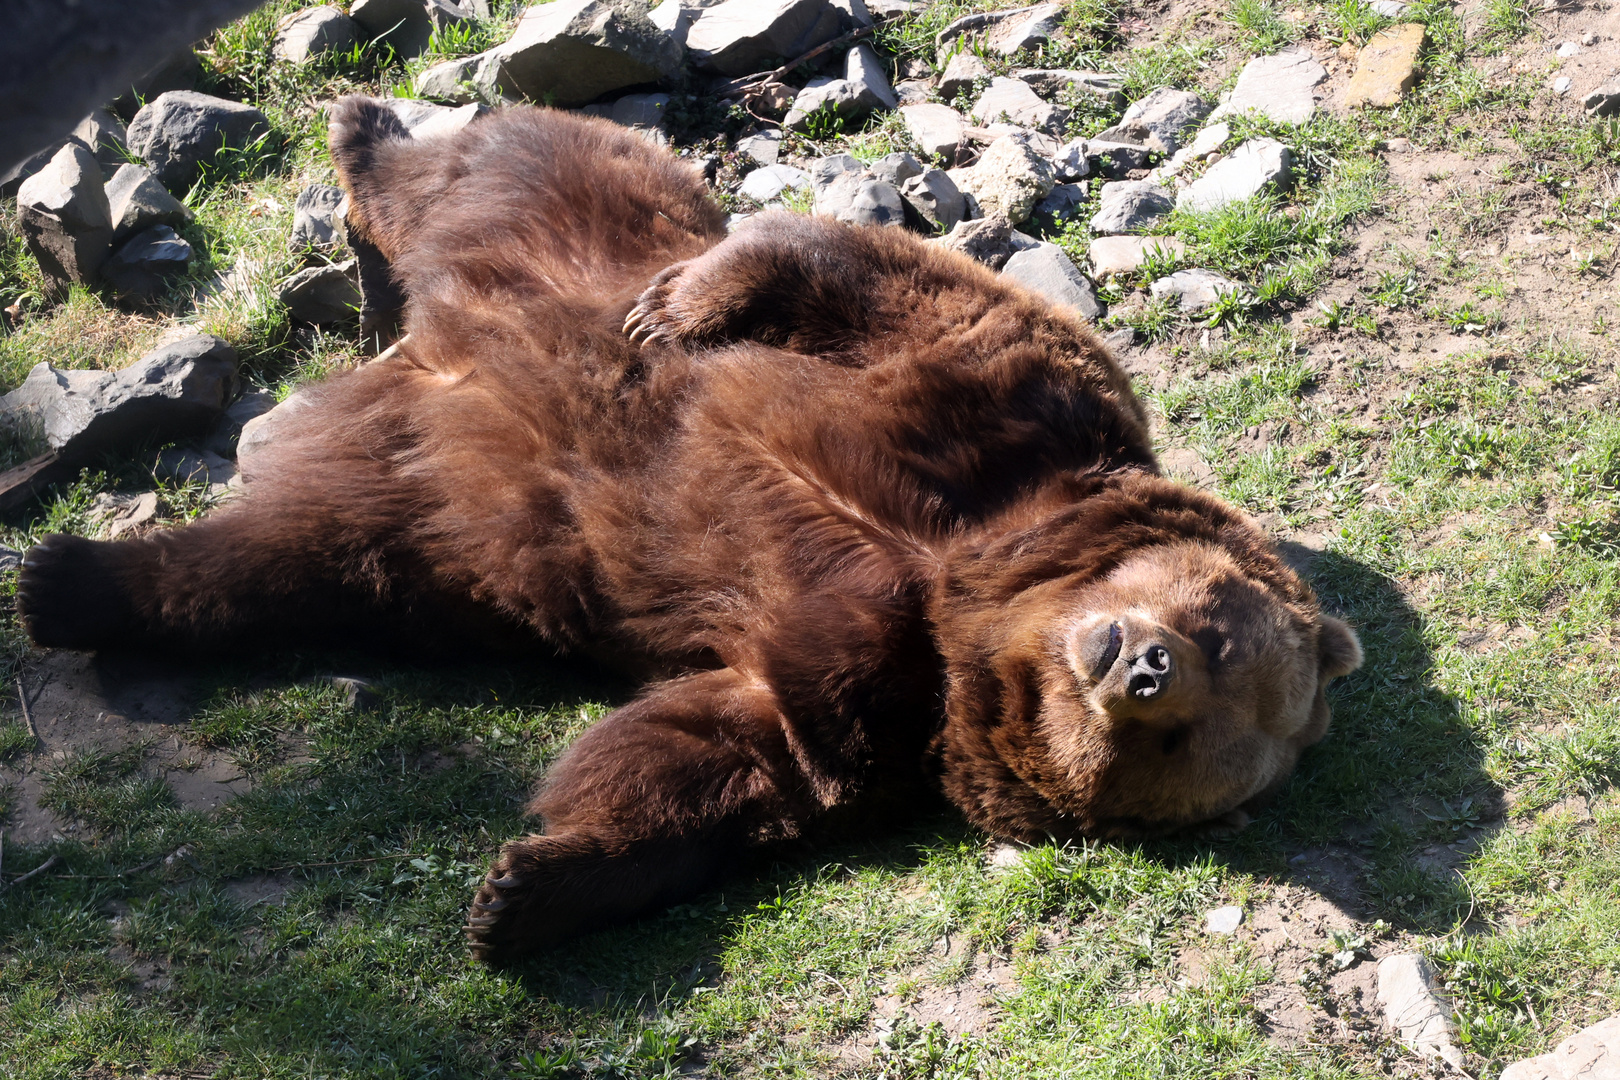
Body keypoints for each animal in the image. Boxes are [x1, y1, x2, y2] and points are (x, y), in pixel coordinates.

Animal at [12, 99, 1360, 965]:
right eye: (1220, 640)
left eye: (1185, 740)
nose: (1143, 666)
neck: (962, 586)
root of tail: (426, 354)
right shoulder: (1004, 412)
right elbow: (862, 273)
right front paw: (681, 313)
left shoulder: (883, 704)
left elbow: (718, 756)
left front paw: (526, 891)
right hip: (553, 215)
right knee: (472, 169)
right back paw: (363, 130)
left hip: (424, 543)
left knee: (277, 564)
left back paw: (69, 585)